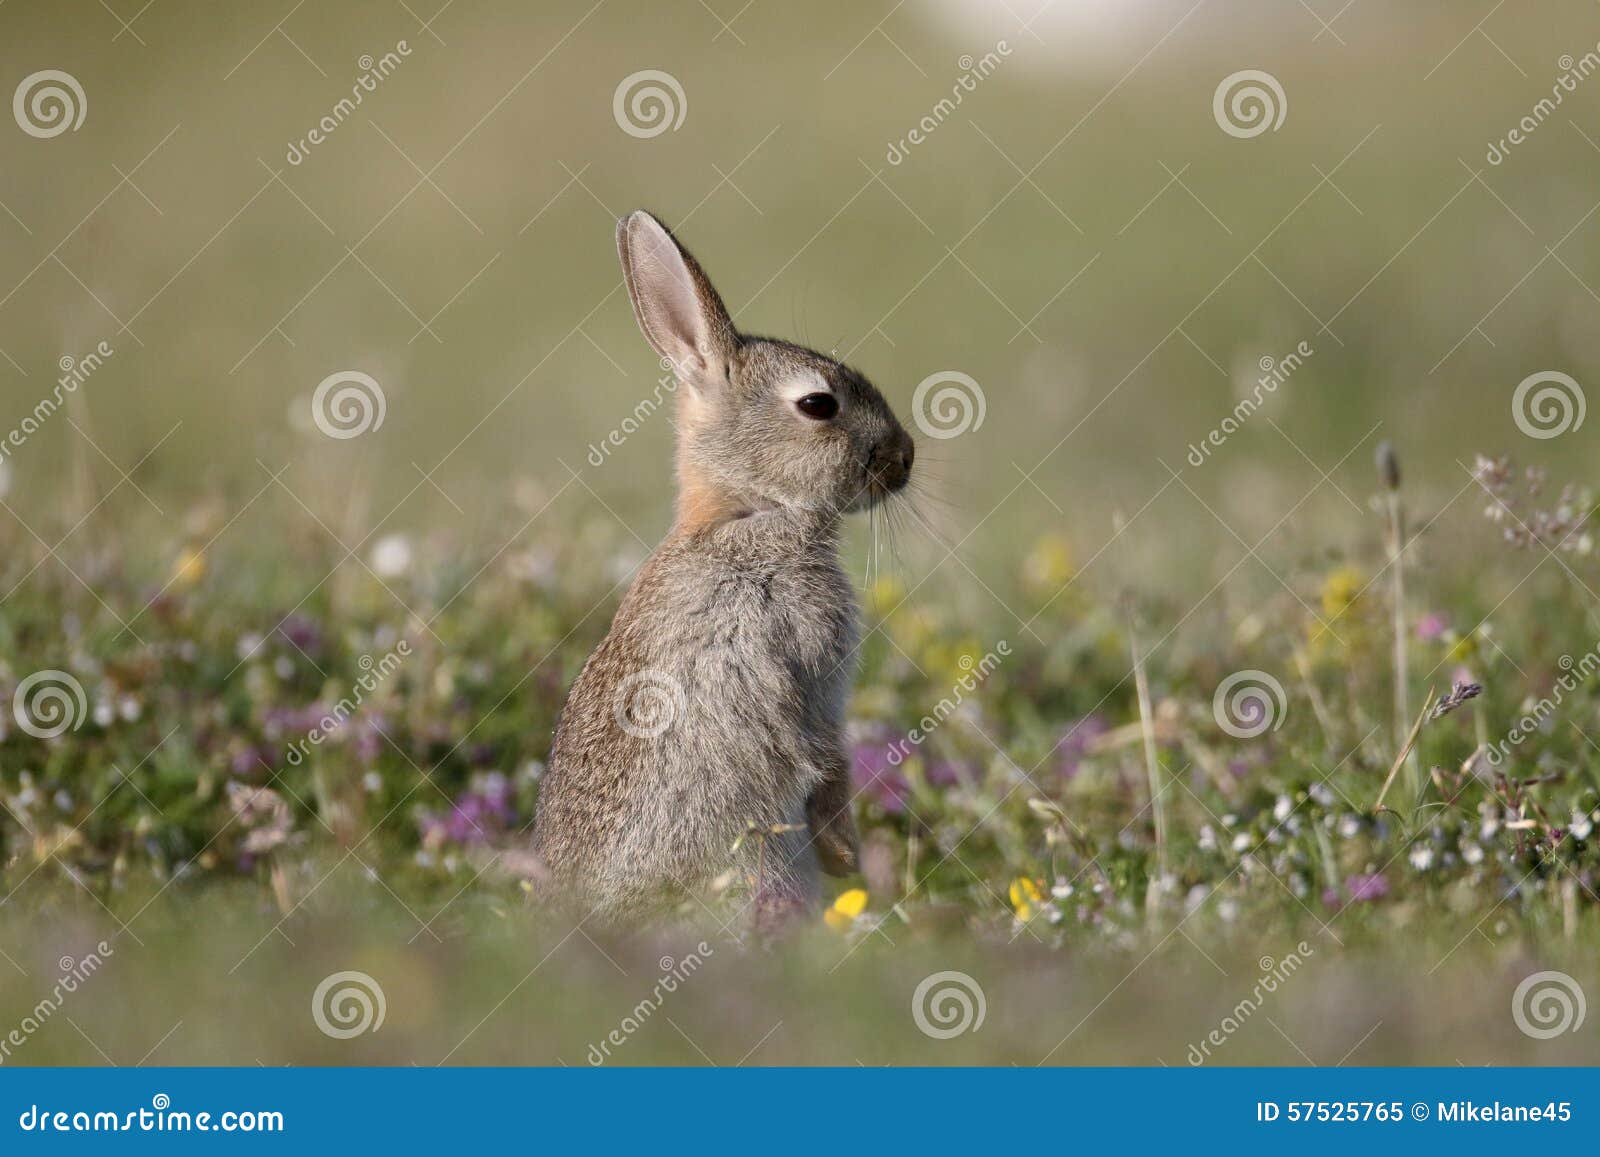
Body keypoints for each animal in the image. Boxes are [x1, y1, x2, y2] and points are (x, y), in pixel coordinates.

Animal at [531, 211, 915, 921]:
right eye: (819, 405)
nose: (905, 459)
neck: (745, 513)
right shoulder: (809, 668)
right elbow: (823, 756)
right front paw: (845, 855)